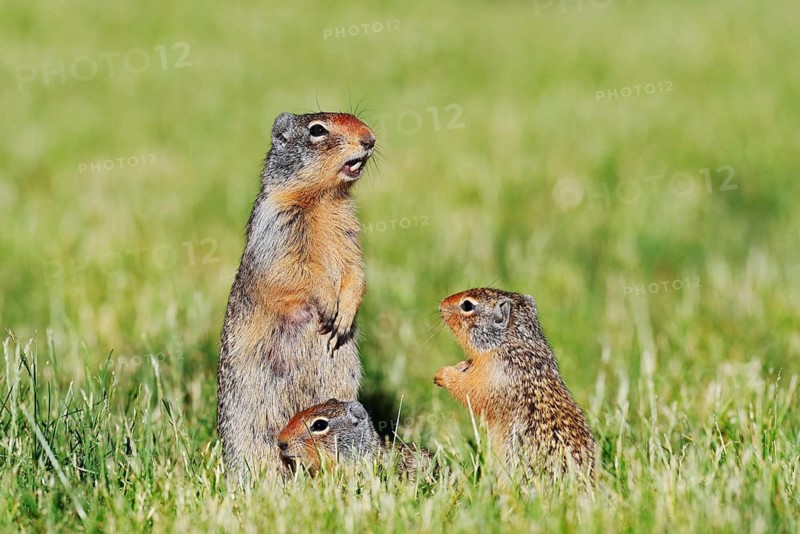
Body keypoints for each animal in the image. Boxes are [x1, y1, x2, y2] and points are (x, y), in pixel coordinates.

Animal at [217, 112, 376, 479]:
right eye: (317, 130)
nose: (370, 139)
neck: (324, 200)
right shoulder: (279, 227)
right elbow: (295, 271)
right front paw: (327, 304)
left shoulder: (350, 233)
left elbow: (355, 272)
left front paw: (343, 316)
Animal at [433, 288, 596, 479]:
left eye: (467, 305)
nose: (441, 305)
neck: (513, 343)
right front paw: (460, 366)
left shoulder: (495, 377)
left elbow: (470, 390)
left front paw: (443, 374)